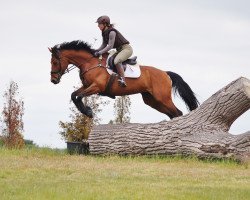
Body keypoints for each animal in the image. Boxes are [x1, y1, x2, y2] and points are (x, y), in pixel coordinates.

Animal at [48, 39, 198, 119]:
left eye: (55, 62)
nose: (53, 80)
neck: (90, 63)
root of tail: (165, 73)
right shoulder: (87, 86)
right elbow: (74, 95)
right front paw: (86, 111)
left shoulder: (96, 87)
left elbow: (78, 97)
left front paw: (88, 112)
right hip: (152, 100)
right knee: (172, 114)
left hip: (162, 97)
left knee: (177, 112)